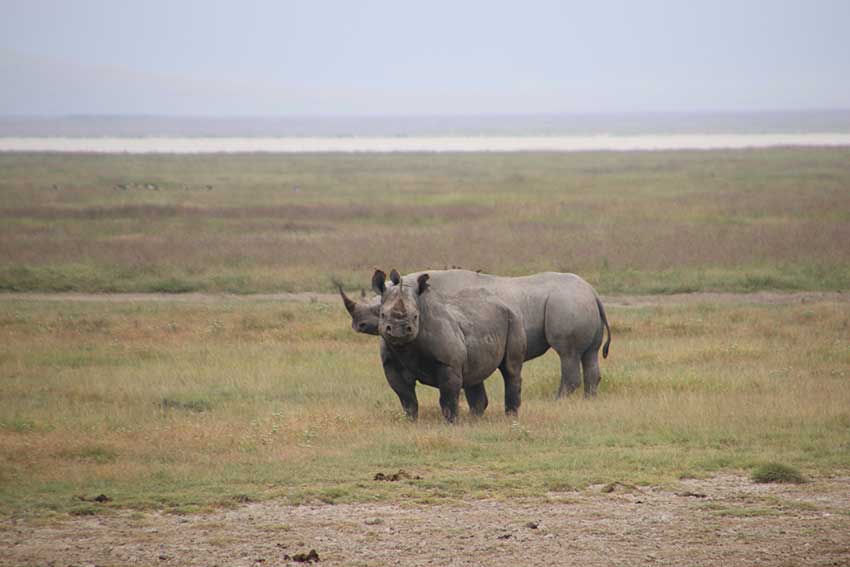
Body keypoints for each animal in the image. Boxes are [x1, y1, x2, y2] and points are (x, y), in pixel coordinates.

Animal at [336, 270, 608, 400]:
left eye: (375, 310)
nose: (358, 324)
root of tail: (593, 291)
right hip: (579, 302)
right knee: (590, 355)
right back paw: (587, 401)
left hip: (566, 303)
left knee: (567, 353)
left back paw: (558, 401)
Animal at [372, 268, 524, 424]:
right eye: (382, 315)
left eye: (415, 316)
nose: (398, 331)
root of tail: (504, 302)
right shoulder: (391, 363)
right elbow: (406, 397)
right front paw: (410, 421)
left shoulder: (449, 363)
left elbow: (448, 396)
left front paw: (451, 423)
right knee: (475, 373)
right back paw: (475, 419)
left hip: (514, 319)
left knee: (510, 369)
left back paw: (511, 419)